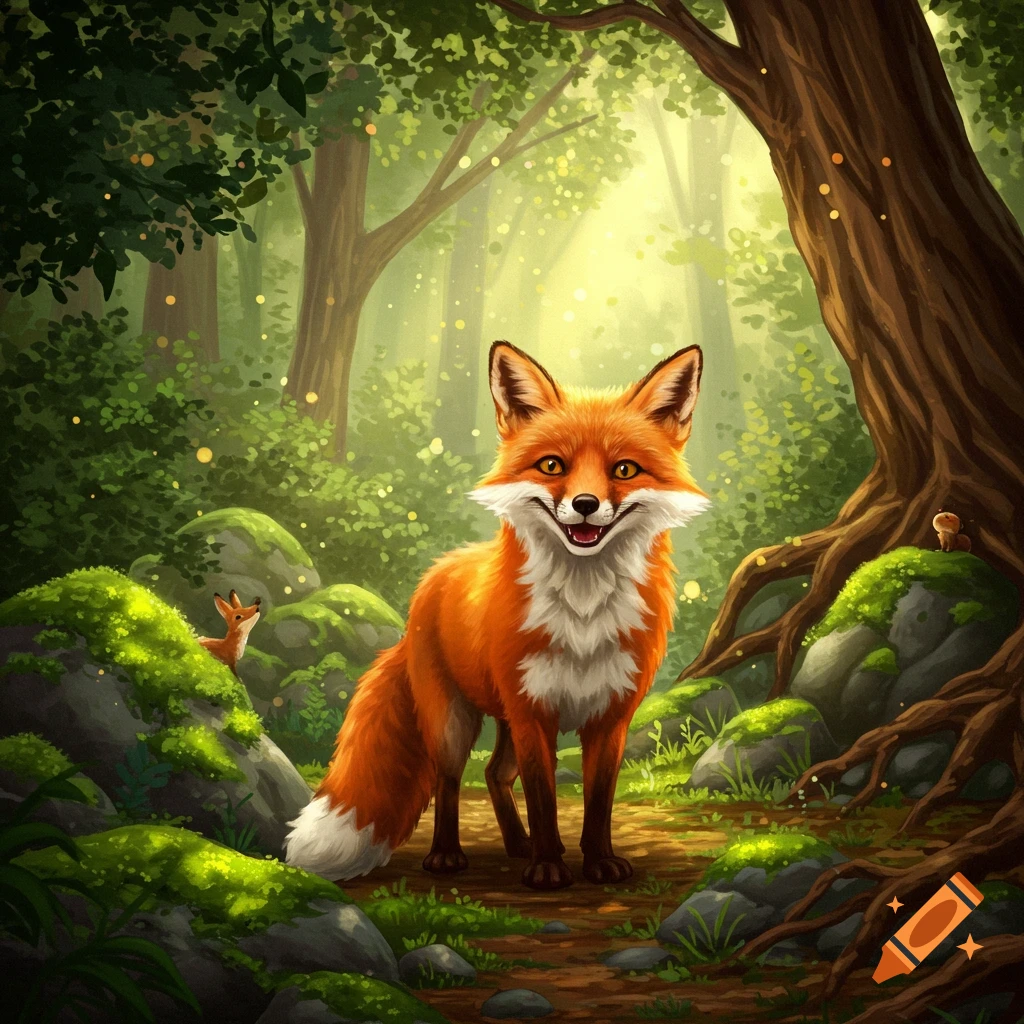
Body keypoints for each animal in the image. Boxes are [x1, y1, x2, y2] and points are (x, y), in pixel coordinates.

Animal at [284, 341, 709, 890]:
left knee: (493, 774)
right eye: (552, 465)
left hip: (503, 719)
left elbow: (598, 802)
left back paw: (517, 846)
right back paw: (448, 855)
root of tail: (432, 577)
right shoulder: (533, 712)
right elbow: (545, 799)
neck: (583, 612)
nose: (585, 504)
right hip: (453, 722)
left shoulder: (609, 715)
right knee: (449, 781)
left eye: (624, 470)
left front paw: (597, 862)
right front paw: (548, 867)